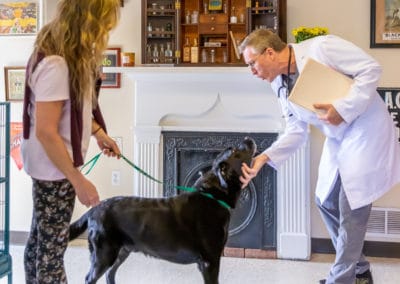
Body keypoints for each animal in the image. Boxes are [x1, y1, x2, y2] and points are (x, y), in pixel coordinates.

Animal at [69, 136, 256, 282]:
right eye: (234, 150)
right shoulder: (209, 261)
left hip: (121, 251)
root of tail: (95, 209)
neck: (212, 195)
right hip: (104, 253)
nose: (248, 138)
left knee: (110, 274)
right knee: (90, 277)